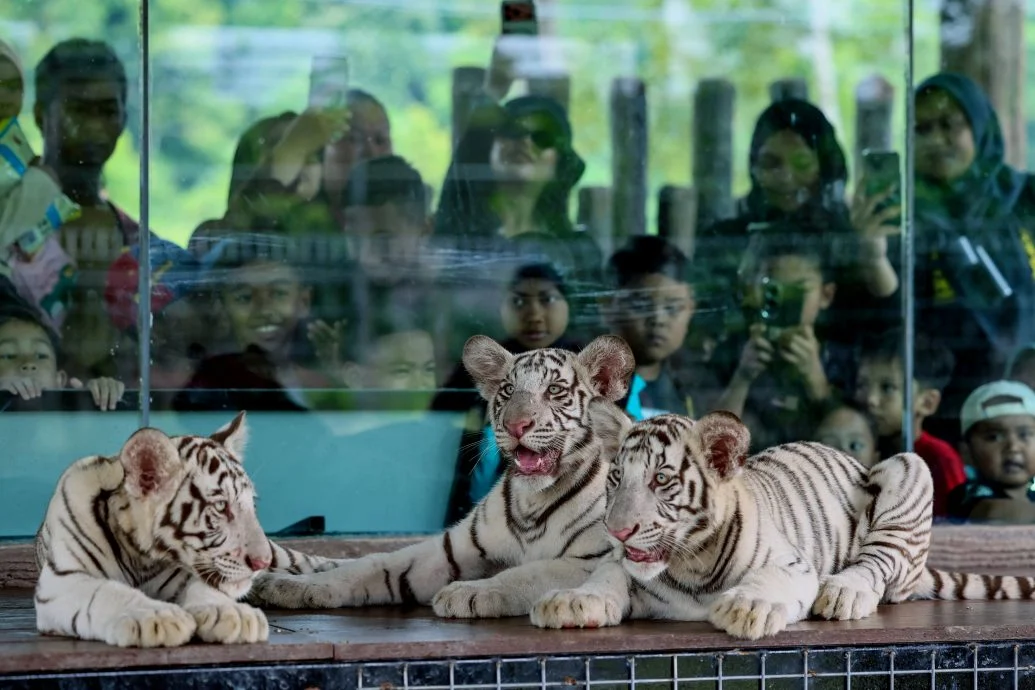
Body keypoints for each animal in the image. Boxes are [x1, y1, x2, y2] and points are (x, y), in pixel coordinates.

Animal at [34, 411, 333, 648]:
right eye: (221, 506)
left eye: (252, 505)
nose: (261, 562)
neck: (142, 556)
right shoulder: (62, 580)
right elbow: (107, 592)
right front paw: (156, 617)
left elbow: (206, 587)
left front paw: (232, 613)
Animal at [246, 334, 635, 618]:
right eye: (508, 390)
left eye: (554, 391)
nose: (515, 425)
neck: (534, 500)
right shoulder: (449, 550)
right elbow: (373, 565)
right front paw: (287, 586)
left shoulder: (591, 560)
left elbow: (528, 572)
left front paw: (470, 592)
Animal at [532, 410, 1035, 640]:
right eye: (617, 477)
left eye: (661, 479)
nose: (618, 532)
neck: (691, 564)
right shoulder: (623, 564)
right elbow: (607, 573)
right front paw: (572, 601)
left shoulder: (792, 563)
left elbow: (768, 578)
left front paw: (747, 607)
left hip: (908, 467)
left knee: (881, 563)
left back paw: (843, 591)